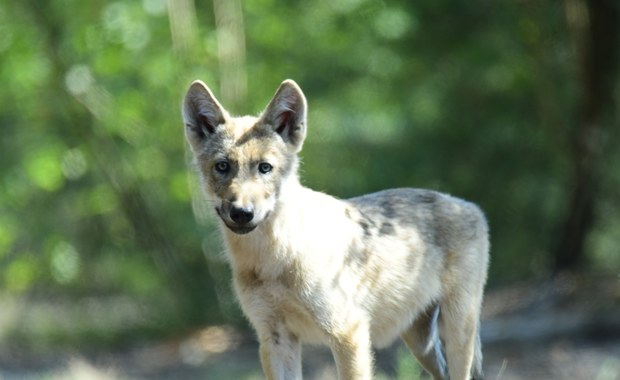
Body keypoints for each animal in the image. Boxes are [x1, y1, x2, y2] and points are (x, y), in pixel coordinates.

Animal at [179, 78, 490, 378]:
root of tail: (469, 205)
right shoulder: (274, 337)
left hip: (457, 335)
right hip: (421, 344)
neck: (270, 261)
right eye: (222, 167)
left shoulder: (347, 333)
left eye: (265, 168)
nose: (242, 213)